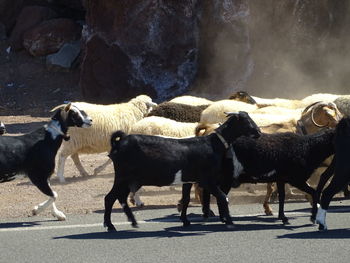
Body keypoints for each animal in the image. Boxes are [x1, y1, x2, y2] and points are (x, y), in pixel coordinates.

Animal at [102, 112, 262, 232]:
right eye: (246, 121)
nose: (259, 133)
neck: (213, 144)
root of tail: (120, 142)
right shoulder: (206, 179)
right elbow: (223, 197)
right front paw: (229, 221)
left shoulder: (189, 180)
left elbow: (185, 200)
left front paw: (185, 221)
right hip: (123, 176)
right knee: (109, 198)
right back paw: (111, 226)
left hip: (128, 179)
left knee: (120, 198)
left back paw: (132, 222)